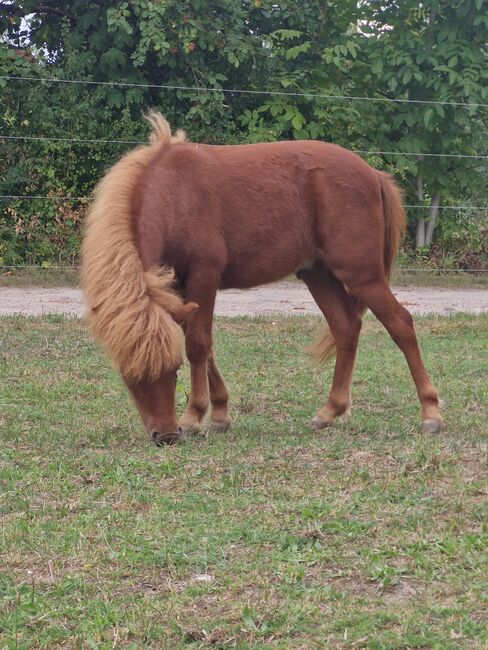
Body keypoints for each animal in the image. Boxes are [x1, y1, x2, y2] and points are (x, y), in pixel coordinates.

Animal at [83, 112, 442, 446]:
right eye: (129, 379)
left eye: (173, 372)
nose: (167, 435)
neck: (173, 194)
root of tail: (373, 174)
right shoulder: (179, 291)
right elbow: (203, 345)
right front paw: (220, 414)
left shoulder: (203, 277)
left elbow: (198, 345)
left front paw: (195, 416)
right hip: (318, 273)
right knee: (346, 328)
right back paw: (329, 411)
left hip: (361, 275)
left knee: (400, 324)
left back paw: (430, 413)